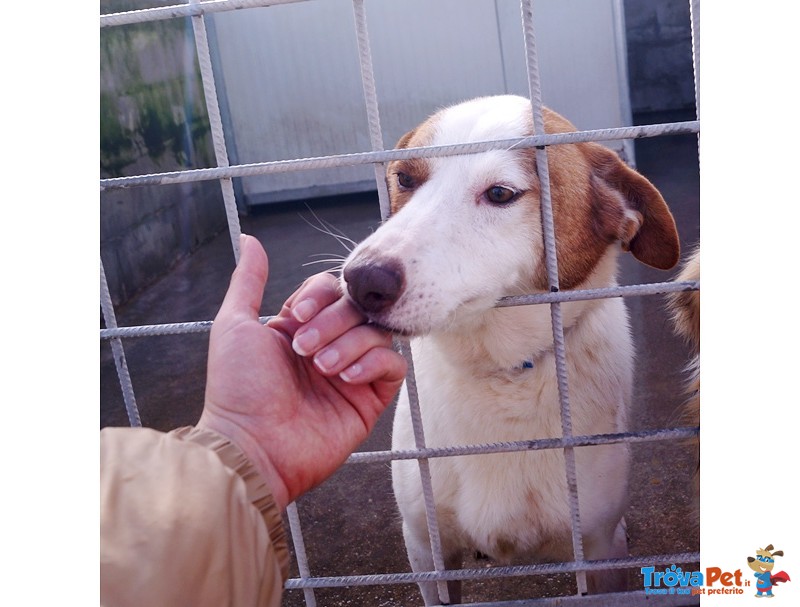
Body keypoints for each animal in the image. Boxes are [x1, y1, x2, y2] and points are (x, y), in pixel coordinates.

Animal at [340, 95, 680, 604]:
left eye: (501, 194)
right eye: (404, 179)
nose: (362, 281)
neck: (502, 372)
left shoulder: (599, 548)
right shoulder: (426, 550)